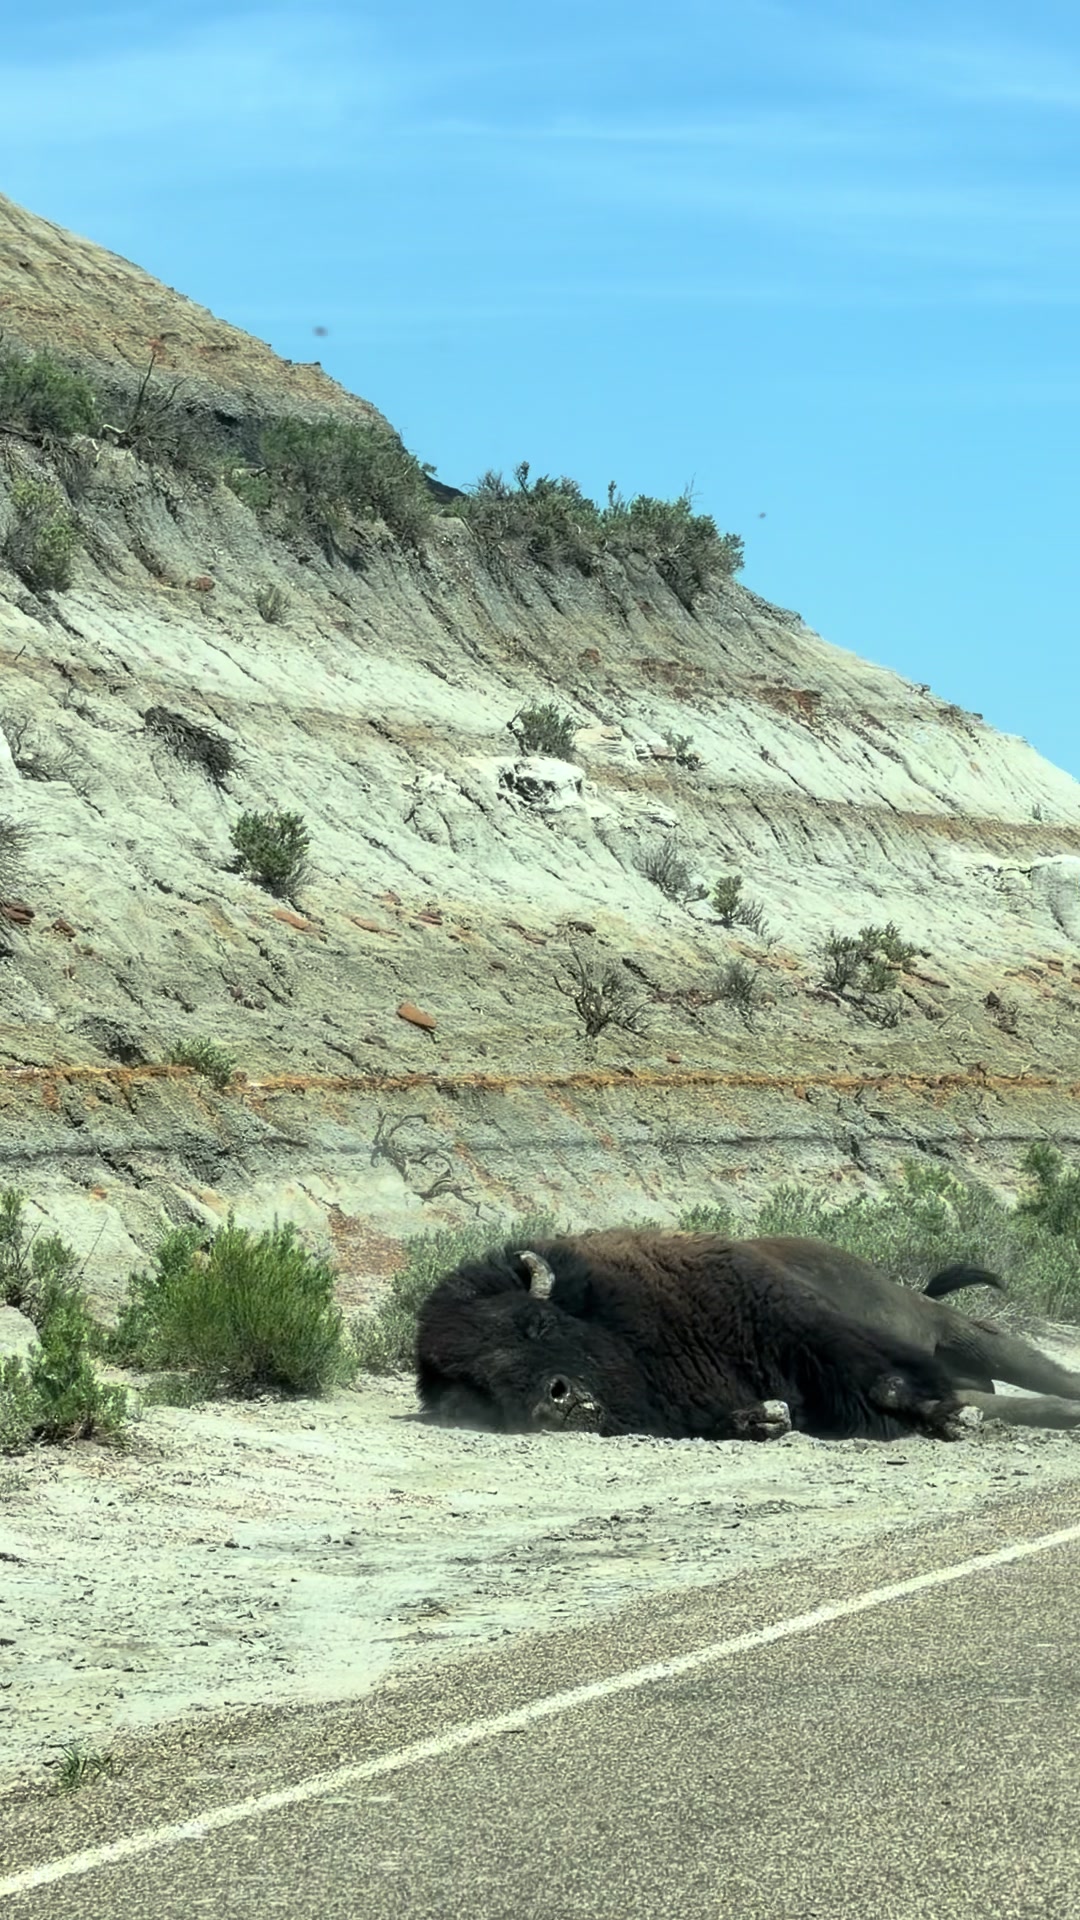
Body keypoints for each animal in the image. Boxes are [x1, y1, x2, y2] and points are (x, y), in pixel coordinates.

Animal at [415, 1231, 1080, 1443]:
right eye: (478, 1388)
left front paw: (947, 1420)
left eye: (538, 1323)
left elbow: (886, 1384)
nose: (554, 1400)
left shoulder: (807, 1330)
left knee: (1040, 1374)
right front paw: (765, 1419)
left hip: (960, 1332)